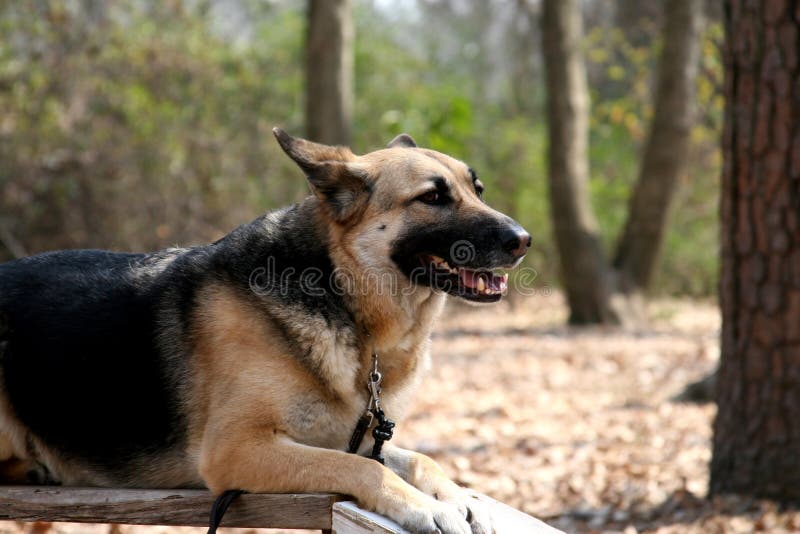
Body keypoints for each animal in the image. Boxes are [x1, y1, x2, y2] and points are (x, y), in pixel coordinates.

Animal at [0, 131, 532, 534]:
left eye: (477, 190)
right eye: (432, 197)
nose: (523, 240)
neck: (343, 298)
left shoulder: (346, 436)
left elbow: (417, 459)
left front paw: (456, 496)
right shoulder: (237, 449)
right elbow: (359, 466)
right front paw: (425, 507)